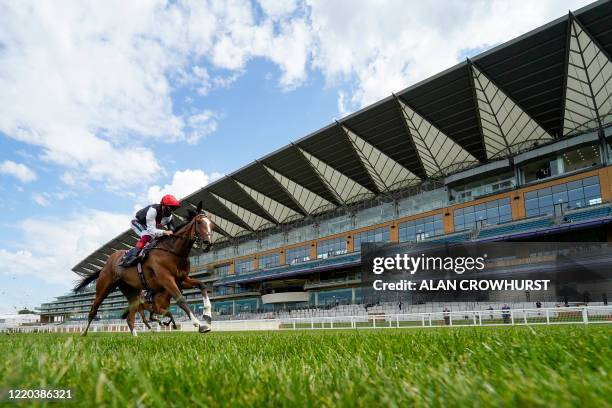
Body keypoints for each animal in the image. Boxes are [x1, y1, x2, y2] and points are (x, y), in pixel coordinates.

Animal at [75, 202, 214, 338]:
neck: (173, 251)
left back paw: (135, 336)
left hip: (132, 293)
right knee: (93, 310)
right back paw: (83, 333)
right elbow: (181, 299)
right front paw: (199, 324)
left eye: (211, 225)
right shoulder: (166, 279)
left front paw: (207, 315)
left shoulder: (182, 279)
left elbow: (202, 285)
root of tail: (105, 265)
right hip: (103, 288)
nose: (208, 243)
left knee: (130, 318)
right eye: (199, 222)